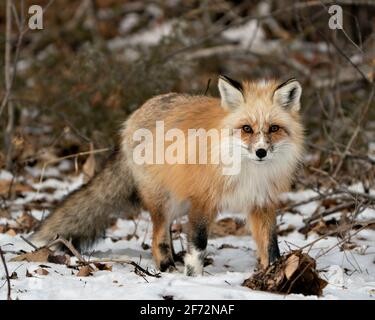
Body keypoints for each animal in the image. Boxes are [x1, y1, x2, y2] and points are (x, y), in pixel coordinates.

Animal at [30, 76, 304, 276]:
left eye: (274, 128)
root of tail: (135, 114)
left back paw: (173, 259)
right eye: (246, 128)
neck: (248, 171)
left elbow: (270, 246)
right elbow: (197, 245)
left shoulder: (261, 203)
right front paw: (194, 278)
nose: (261, 152)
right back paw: (166, 265)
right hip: (165, 200)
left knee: (167, 231)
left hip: (179, 202)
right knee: (157, 236)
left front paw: (274, 275)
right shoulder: (202, 201)